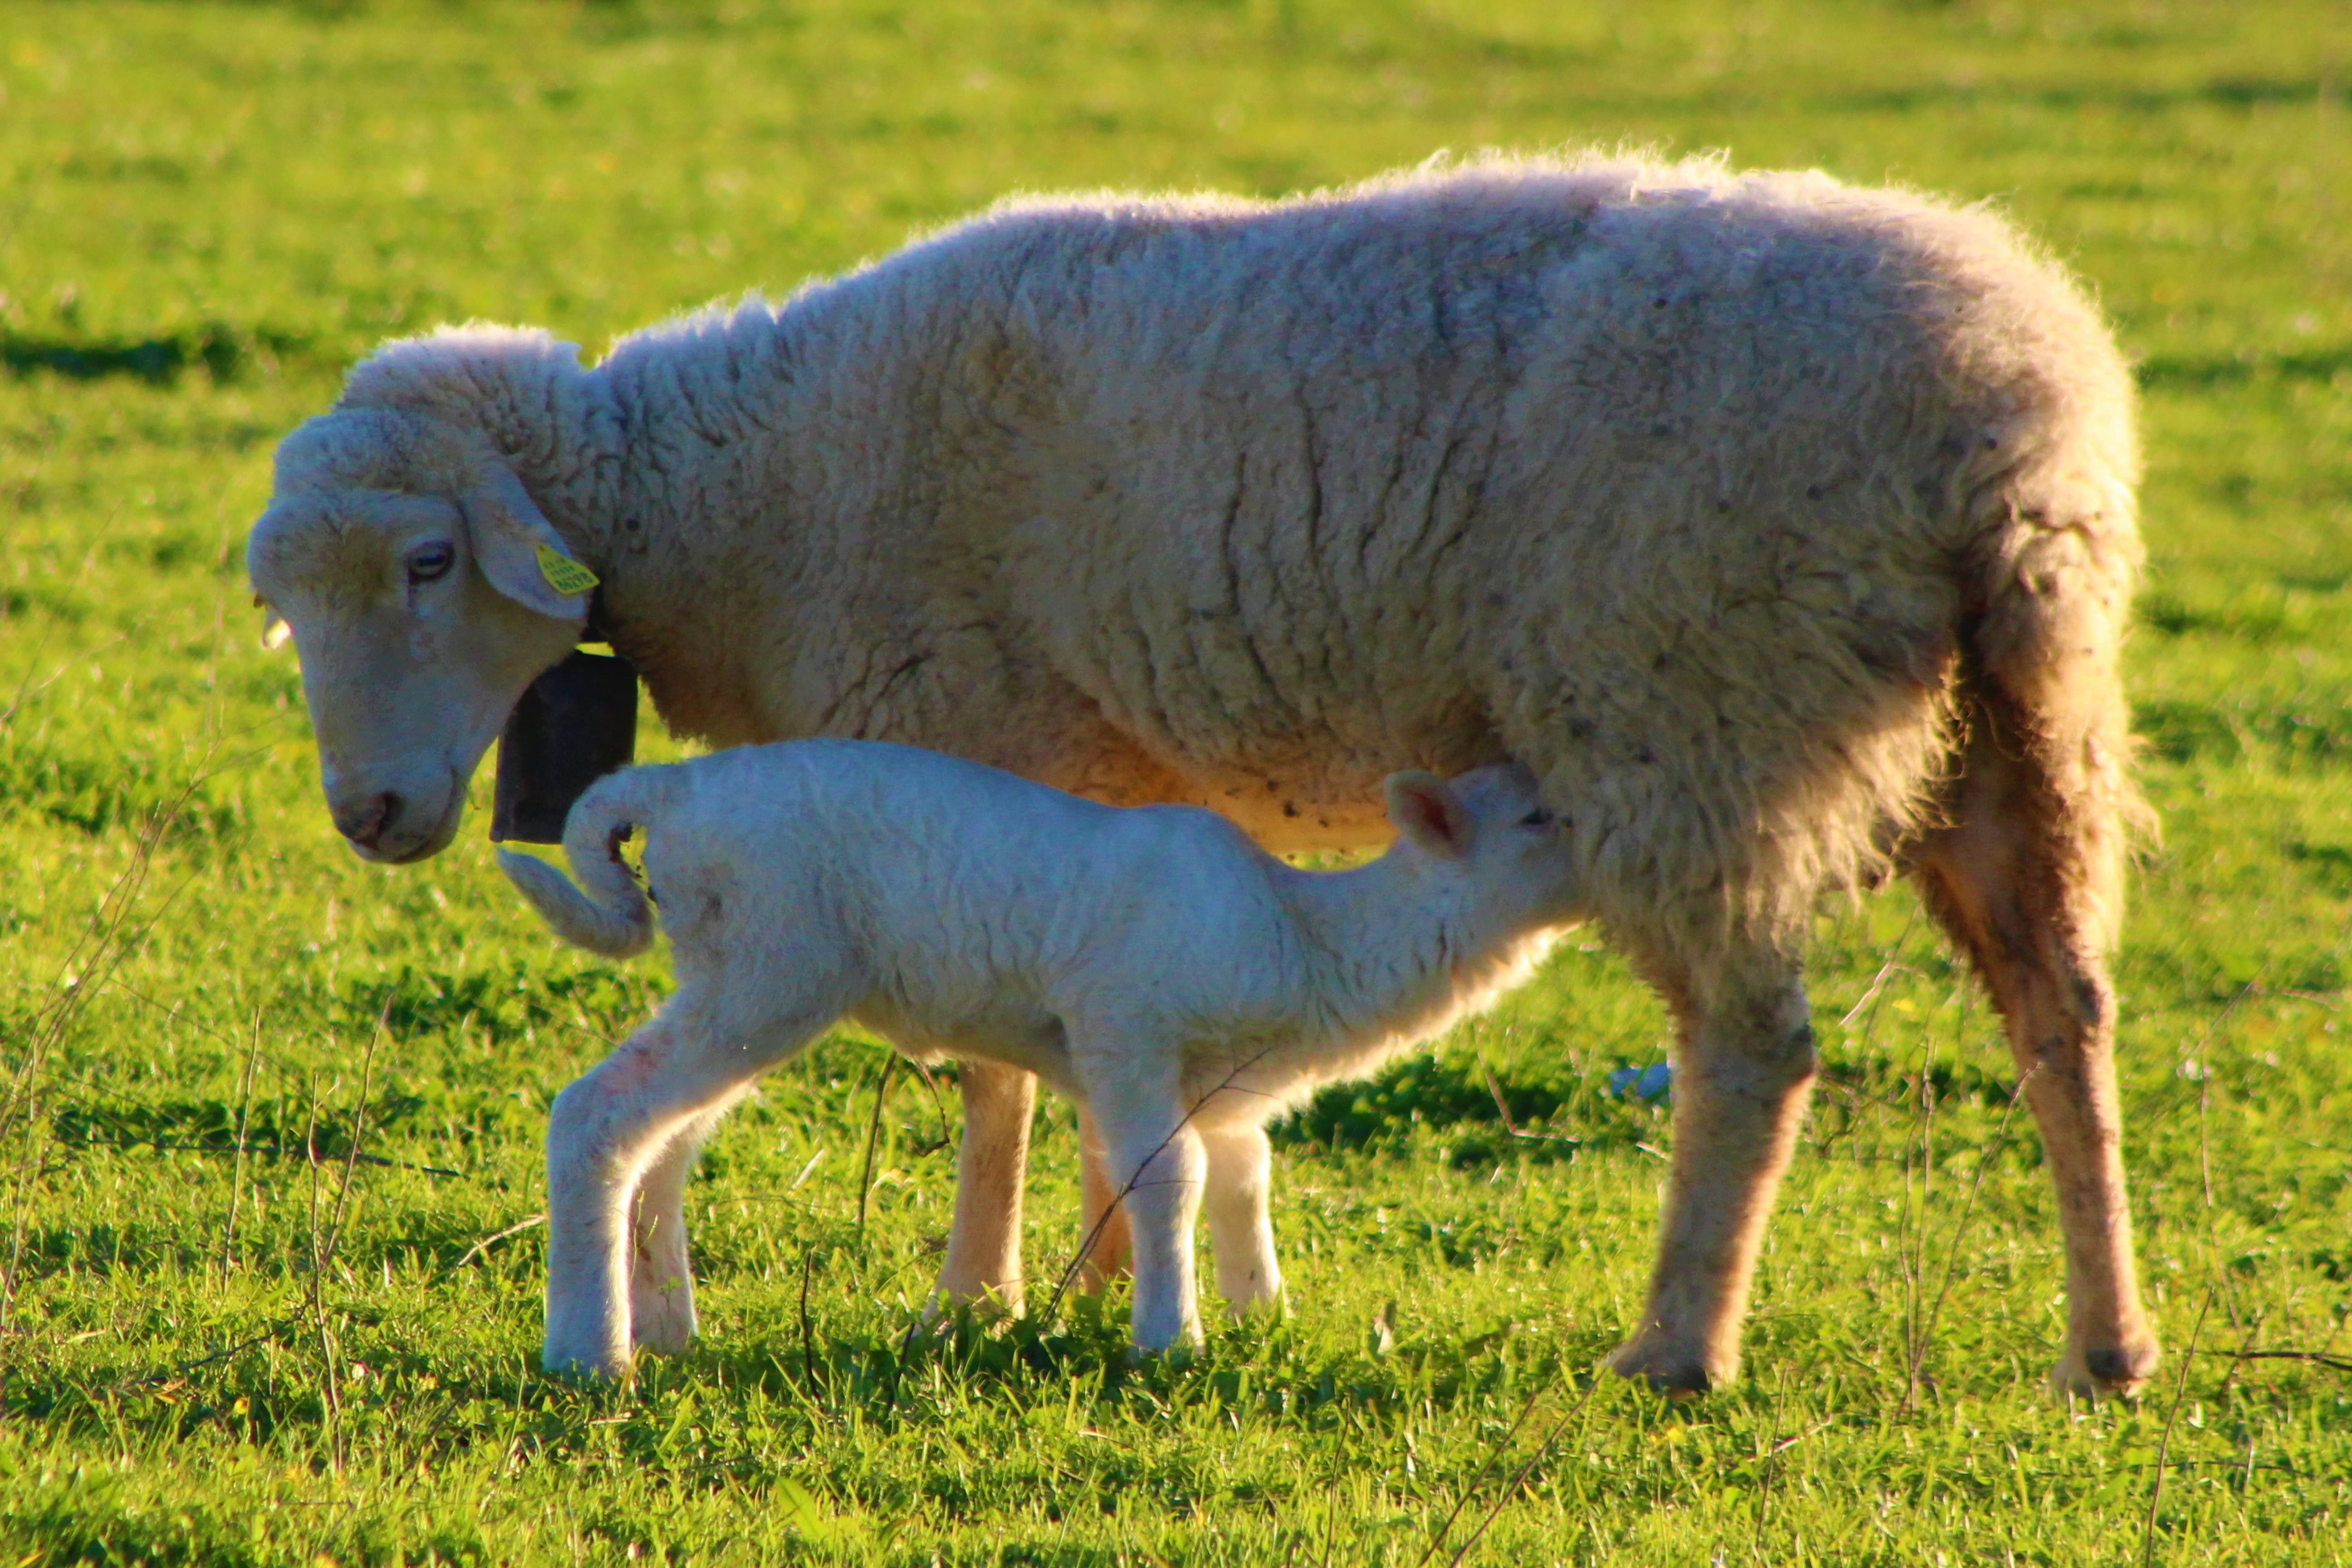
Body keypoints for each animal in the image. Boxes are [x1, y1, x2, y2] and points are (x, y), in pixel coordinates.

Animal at [499, 740, 1582, 1375]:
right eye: (1535, 818)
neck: (1304, 931)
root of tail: (672, 786)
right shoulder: (1124, 1028)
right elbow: (1167, 1181)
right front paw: (1171, 1342)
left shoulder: (1224, 1086)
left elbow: (1244, 1178)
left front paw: (1261, 1316)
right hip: (773, 961)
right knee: (597, 1113)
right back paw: (591, 1353)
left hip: (731, 967)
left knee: (664, 1139)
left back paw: (667, 1328)